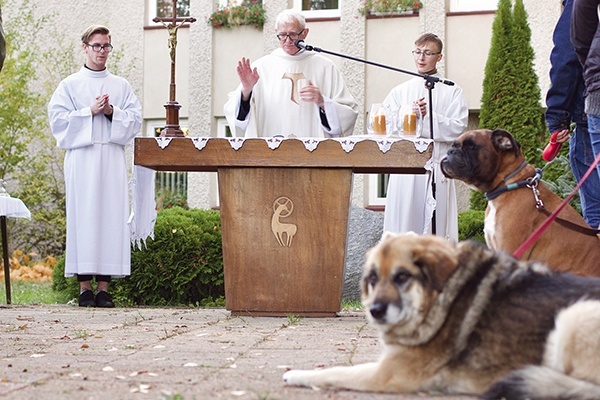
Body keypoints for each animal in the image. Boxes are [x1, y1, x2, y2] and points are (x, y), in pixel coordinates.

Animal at [284, 233, 600, 398]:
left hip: (574, 315)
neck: (439, 298)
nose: (375, 311)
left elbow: (335, 371)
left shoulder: (387, 374)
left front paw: (297, 374)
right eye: (373, 278)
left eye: (402, 277)